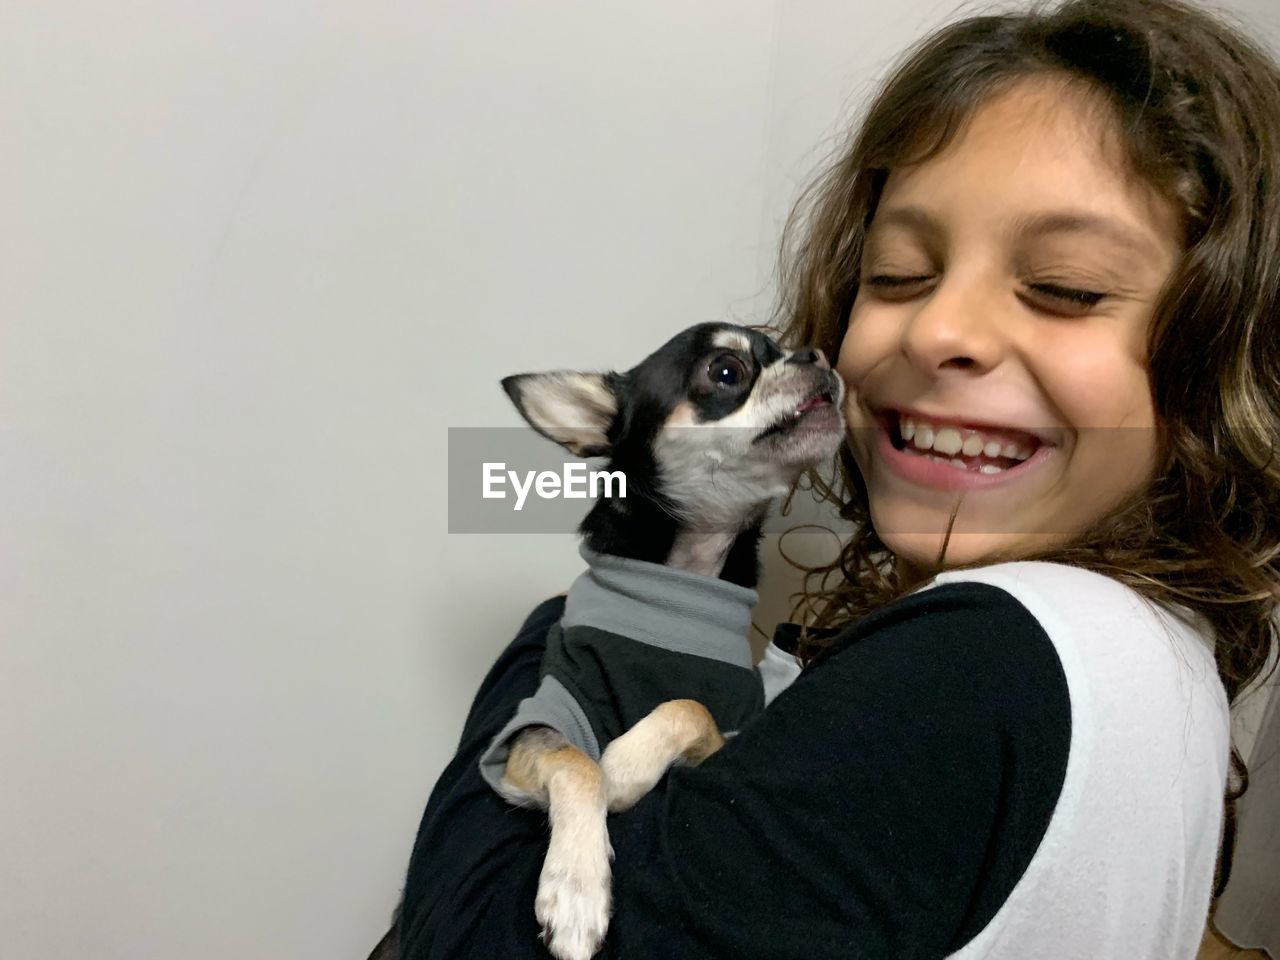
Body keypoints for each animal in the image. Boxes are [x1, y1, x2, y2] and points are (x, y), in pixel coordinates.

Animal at [494, 323, 844, 960]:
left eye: (787, 351)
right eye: (727, 371)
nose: (817, 355)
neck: (685, 578)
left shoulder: (726, 734)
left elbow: (687, 705)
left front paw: (625, 766)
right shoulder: (535, 727)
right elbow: (577, 763)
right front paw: (576, 889)